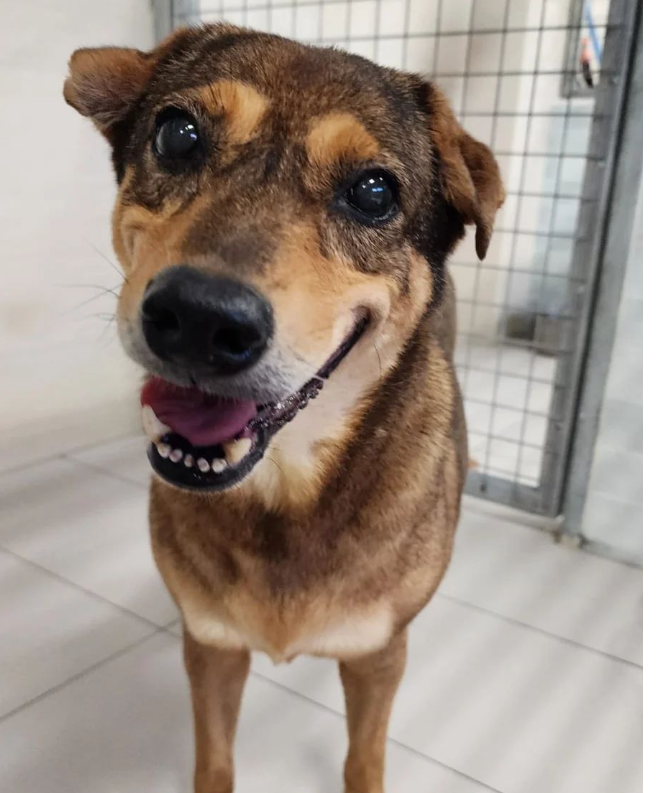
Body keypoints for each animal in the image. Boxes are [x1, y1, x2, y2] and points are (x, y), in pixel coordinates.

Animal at [64, 23, 503, 793]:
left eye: (374, 192)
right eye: (177, 135)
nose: (200, 318)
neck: (286, 492)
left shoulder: (377, 655)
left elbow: (364, 761)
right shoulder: (210, 646)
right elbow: (213, 761)